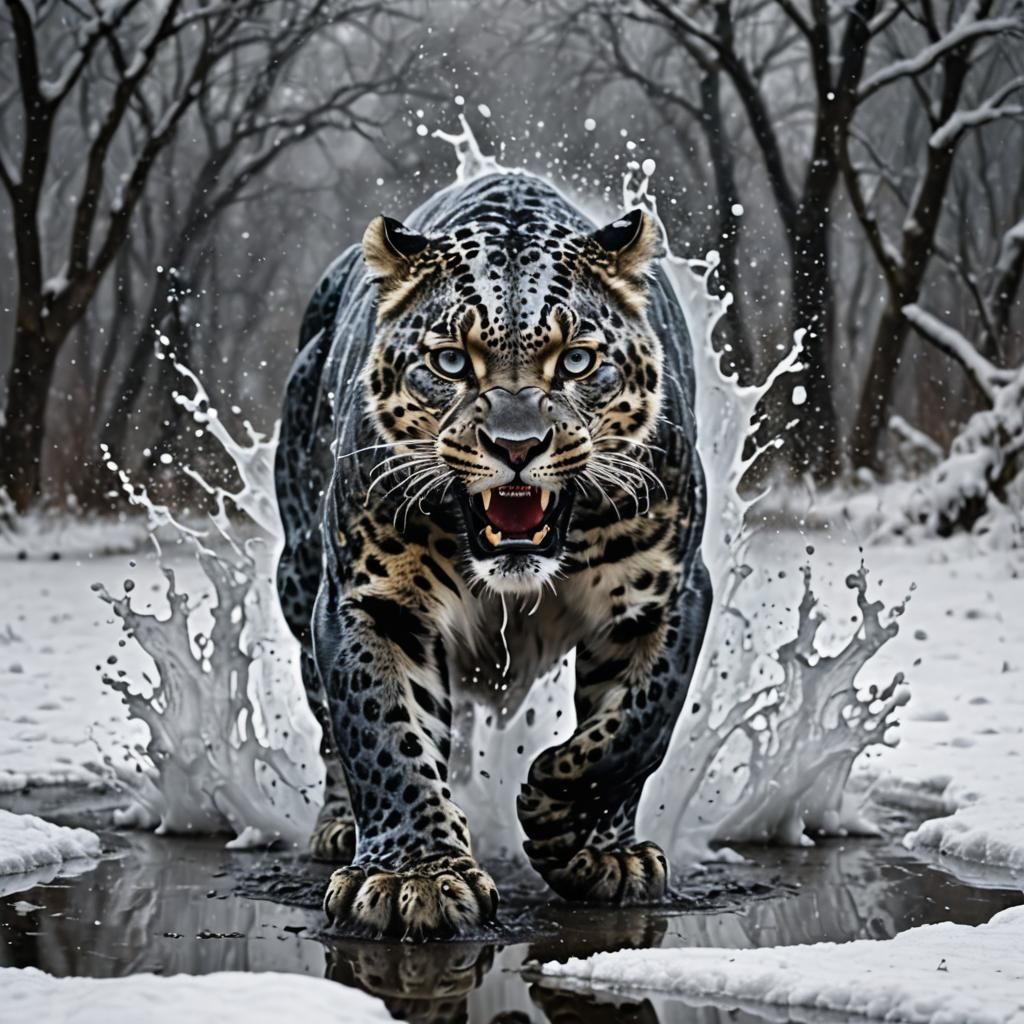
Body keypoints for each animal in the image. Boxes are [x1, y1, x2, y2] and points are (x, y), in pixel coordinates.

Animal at [274, 170, 712, 940]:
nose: (516, 446)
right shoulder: (370, 597)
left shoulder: (670, 593)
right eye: (451, 362)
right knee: (329, 723)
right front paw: (411, 876)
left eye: (577, 361)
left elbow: (634, 726)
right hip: (299, 580)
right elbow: (383, 730)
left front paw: (580, 839)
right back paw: (340, 827)